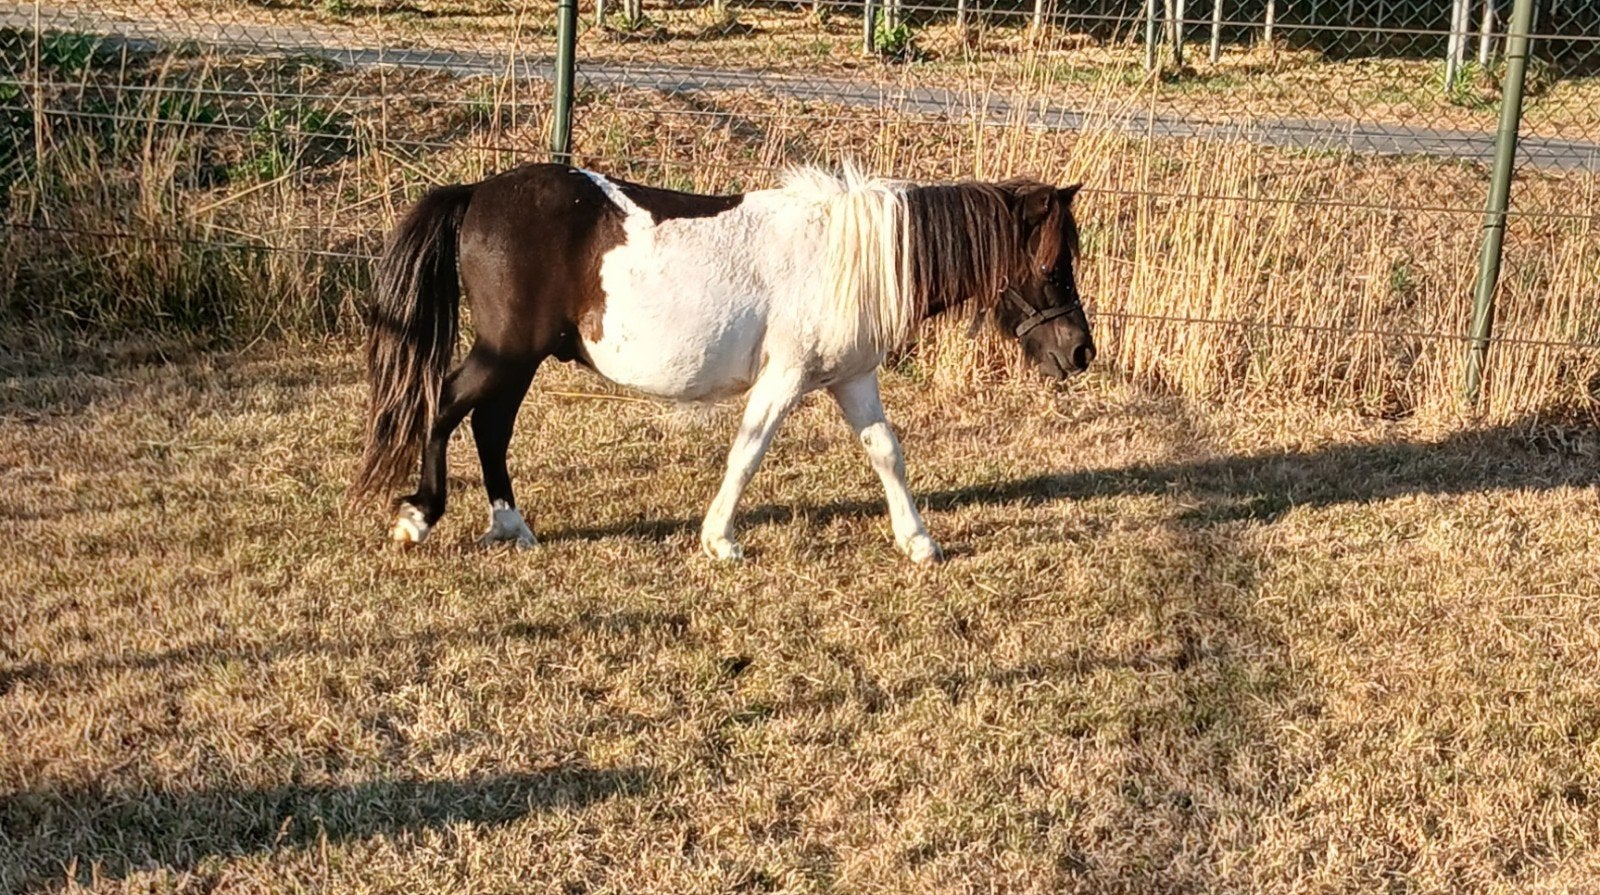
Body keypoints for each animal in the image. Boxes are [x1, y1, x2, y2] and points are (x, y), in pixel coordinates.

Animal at [352, 163, 1094, 564]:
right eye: (1052, 267)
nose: (1081, 352)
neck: (850, 254)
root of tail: (476, 192)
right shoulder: (786, 377)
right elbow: (749, 450)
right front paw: (720, 540)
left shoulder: (850, 377)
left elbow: (886, 450)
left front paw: (917, 541)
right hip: (506, 351)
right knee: (447, 405)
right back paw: (419, 515)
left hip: (519, 358)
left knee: (490, 425)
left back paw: (509, 524)